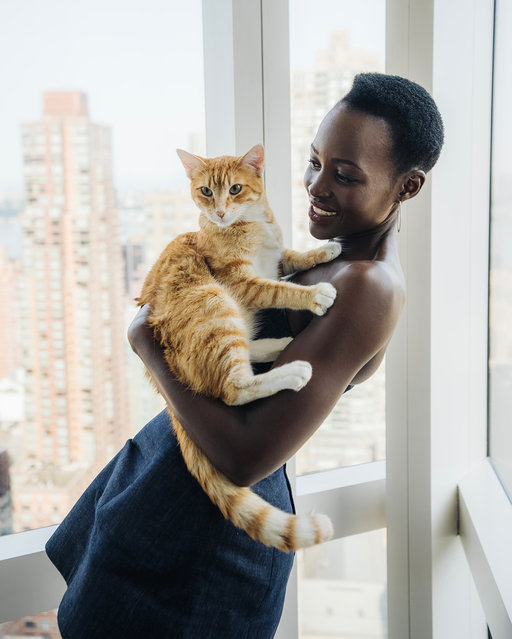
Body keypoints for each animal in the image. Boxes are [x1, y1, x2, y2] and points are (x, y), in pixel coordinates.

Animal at [138, 144, 342, 552]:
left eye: (234, 189)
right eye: (206, 192)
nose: (219, 211)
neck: (253, 225)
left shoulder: (275, 260)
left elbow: (291, 256)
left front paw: (322, 251)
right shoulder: (242, 282)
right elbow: (281, 289)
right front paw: (314, 294)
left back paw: (278, 346)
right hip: (216, 303)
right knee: (234, 388)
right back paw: (293, 369)